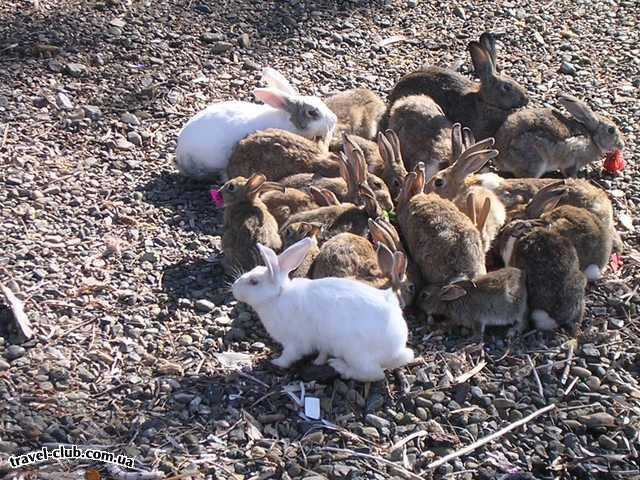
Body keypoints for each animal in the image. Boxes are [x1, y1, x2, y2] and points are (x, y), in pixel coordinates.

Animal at [231, 237, 416, 382]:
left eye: (254, 282)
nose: (233, 288)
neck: (278, 296)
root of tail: (398, 347)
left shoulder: (294, 342)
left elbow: (290, 355)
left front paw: (276, 362)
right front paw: (319, 359)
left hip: (355, 352)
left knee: (374, 374)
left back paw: (340, 367)